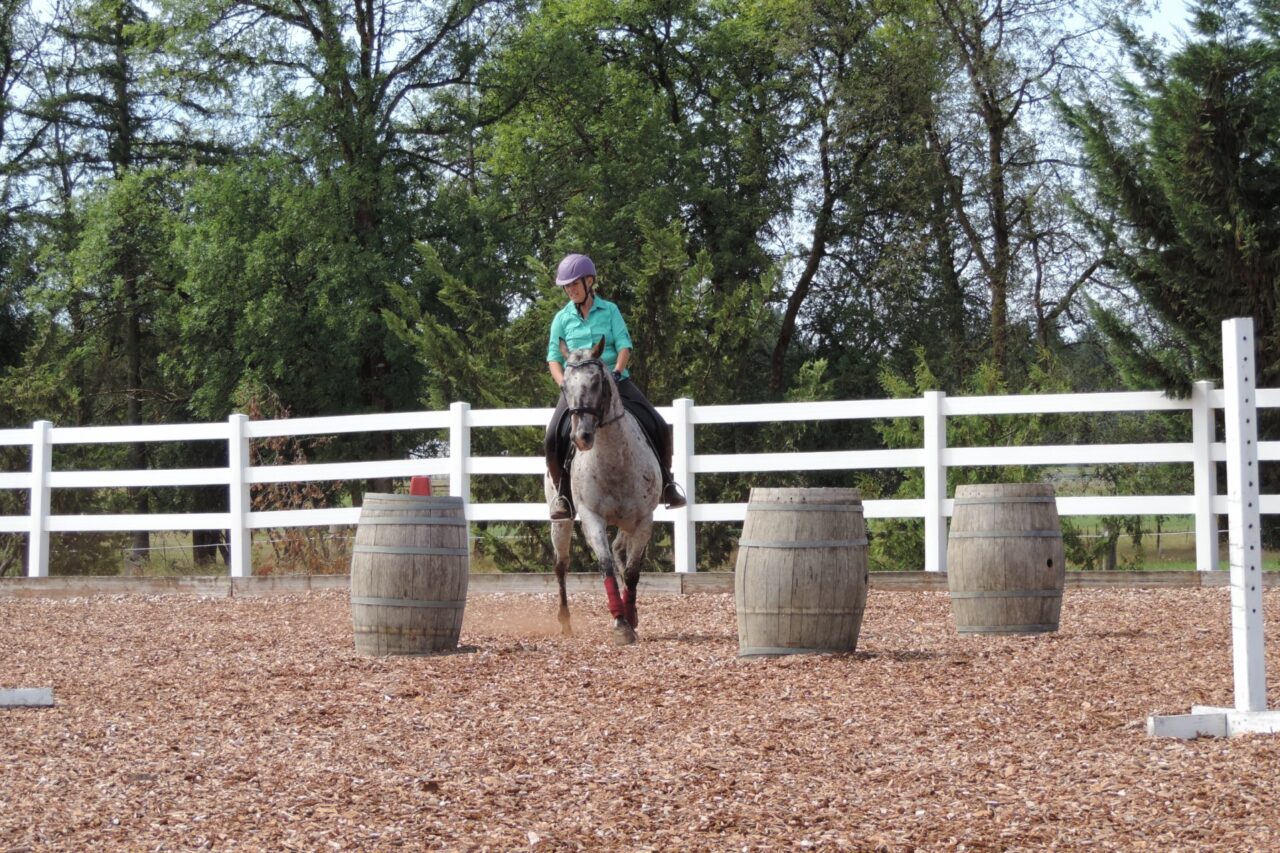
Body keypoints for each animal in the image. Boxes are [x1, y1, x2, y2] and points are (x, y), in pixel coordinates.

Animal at [547, 337, 662, 645]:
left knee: (621, 550)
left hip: (627, 522)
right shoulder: (591, 518)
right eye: (564, 386)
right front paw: (620, 623)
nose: (581, 437)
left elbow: (631, 571)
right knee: (561, 564)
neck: (614, 459)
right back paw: (564, 621)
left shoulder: (643, 519)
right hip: (561, 520)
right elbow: (606, 566)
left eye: (597, 382)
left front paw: (630, 617)